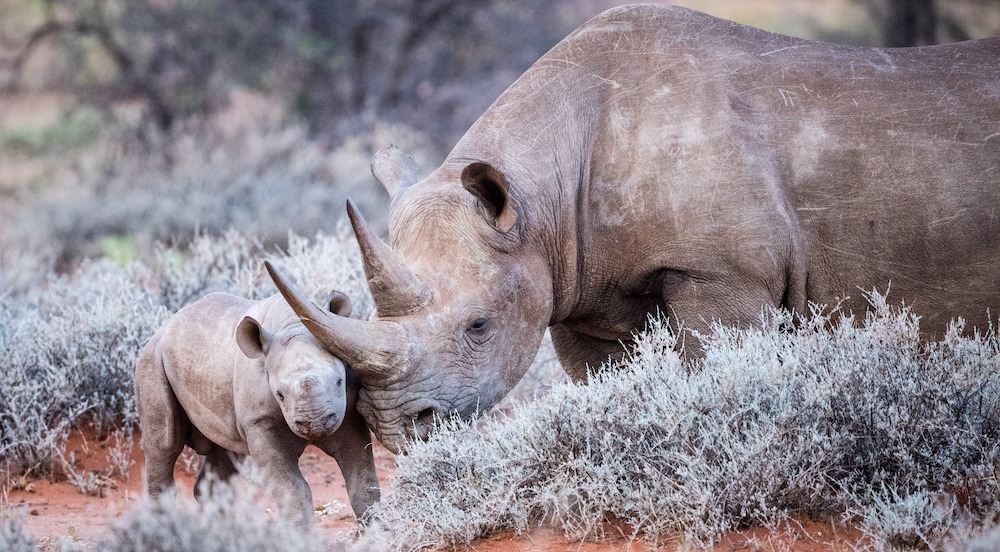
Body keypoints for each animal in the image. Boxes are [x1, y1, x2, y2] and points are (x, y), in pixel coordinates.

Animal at [134, 269, 380, 527]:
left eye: (340, 382)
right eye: (279, 394)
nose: (315, 423)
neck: (292, 324)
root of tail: (164, 327)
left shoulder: (348, 413)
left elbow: (363, 482)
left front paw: (374, 530)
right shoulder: (259, 421)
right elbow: (293, 489)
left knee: (225, 453)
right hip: (151, 359)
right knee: (164, 445)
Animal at [269, 4, 1000, 453]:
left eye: (478, 327)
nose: (394, 425)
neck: (542, 196)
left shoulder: (721, 274)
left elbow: (722, 373)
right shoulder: (581, 292)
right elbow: (604, 384)